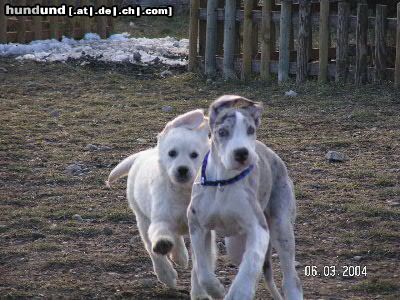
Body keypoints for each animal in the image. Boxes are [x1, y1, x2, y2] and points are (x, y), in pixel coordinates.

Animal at [188, 95, 304, 300]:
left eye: (250, 130)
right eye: (223, 132)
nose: (242, 153)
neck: (223, 182)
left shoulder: (259, 228)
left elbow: (251, 263)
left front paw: (238, 292)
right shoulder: (197, 226)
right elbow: (202, 270)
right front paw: (216, 290)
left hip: (281, 227)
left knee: (289, 277)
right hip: (235, 245)